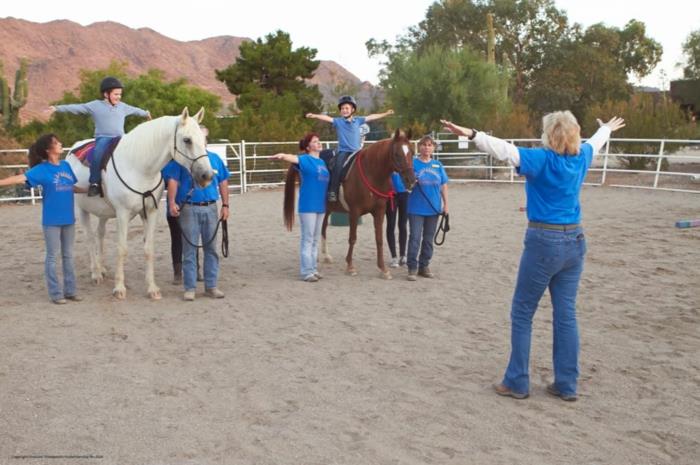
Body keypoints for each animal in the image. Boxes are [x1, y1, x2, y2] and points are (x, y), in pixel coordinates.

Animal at [69, 107, 216, 300]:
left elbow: (148, 249)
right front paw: (119, 288)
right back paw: (95, 273)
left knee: (100, 234)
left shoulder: (150, 212)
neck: (138, 167)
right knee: (90, 238)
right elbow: (122, 249)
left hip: (104, 213)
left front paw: (152, 288)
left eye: (203, 139)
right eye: (187, 140)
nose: (207, 175)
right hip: (82, 210)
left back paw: (102, 268)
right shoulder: (122, 213)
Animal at [284, 129, 416, 278]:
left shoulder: (379, 212)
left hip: (326, 208)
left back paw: (325, 256)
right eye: (397, 154)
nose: (412, 180)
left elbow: (379, 239)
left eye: (412, 152)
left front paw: (383, 269)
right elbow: (352, 238)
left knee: (322, 228)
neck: (371, 173)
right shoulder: (354, 212)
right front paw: (350, 266)